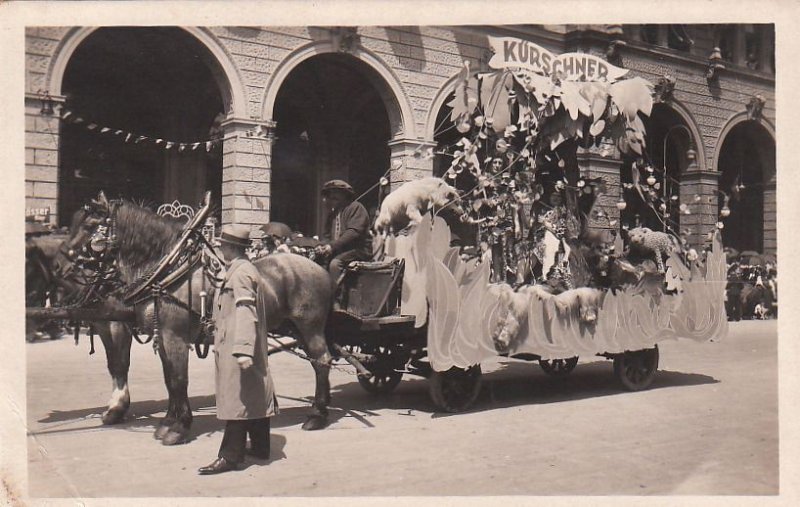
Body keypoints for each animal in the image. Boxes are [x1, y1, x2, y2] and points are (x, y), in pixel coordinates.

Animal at [53, 192, 334, 446]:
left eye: (89, 226)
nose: (57, 265)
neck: (168, 268)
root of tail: (319, 267)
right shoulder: (162, 335)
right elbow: (168, 378)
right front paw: (167, 421)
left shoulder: (173, 335)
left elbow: (178, 379)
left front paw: (178, 427)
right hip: (297, 329)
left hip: (310, 326)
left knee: (322, 361)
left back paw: (317, 414)